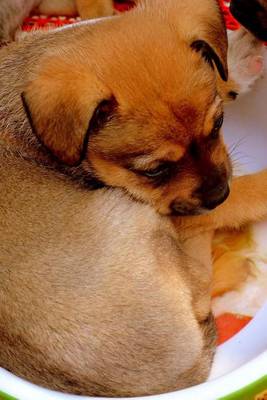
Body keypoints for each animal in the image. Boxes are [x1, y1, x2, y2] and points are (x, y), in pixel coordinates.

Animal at [0, 0, 266, 396]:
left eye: (218, 124)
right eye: (154, 171)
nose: (219, 192)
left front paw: (238, 58)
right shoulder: (174, 208)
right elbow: (243, 196)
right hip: (138, 216)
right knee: (202, 283)